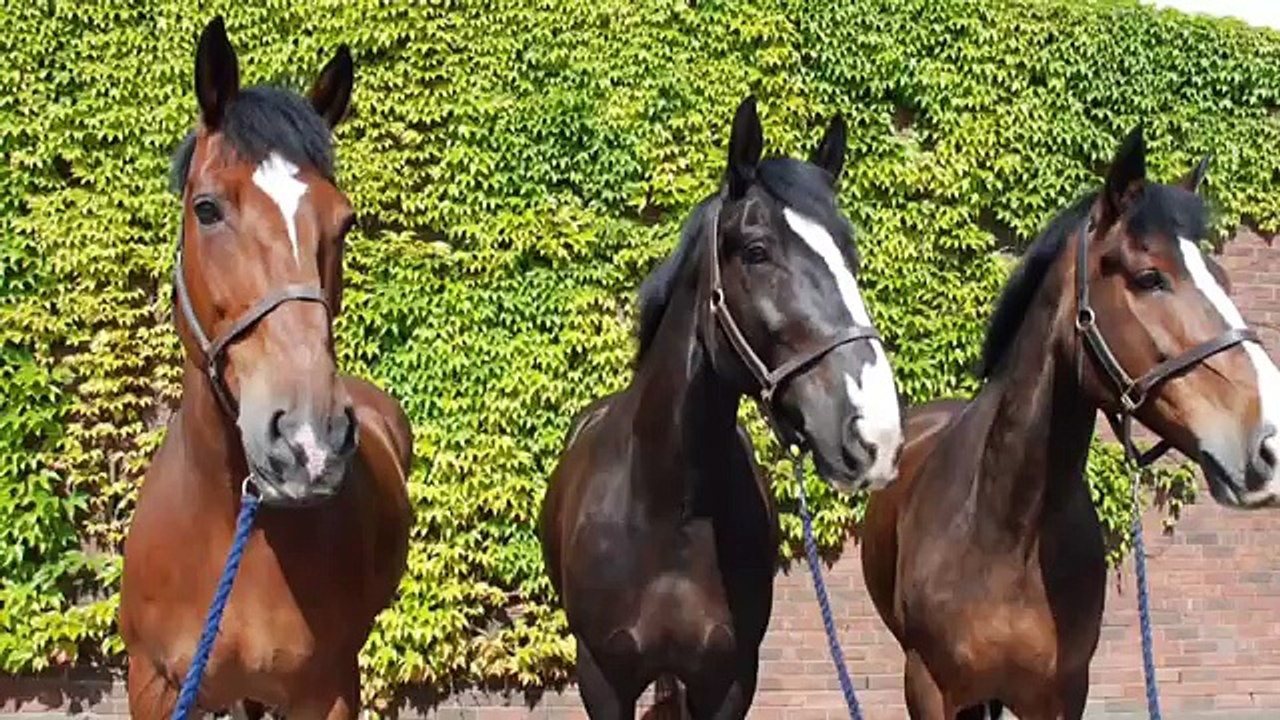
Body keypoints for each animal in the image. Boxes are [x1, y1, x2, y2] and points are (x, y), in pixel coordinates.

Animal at [538, 94, 906, 719]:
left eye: (850, 256)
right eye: (757, 252)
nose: (875, 433)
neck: (669, 510)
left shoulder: (730, 679)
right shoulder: (602, 679)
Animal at [860, 126, 1280, 719]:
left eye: (1220, 276)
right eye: (1148, 277)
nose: (1269, 443)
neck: (1007, 532)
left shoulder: (1062, 692)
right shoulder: (927, 690)